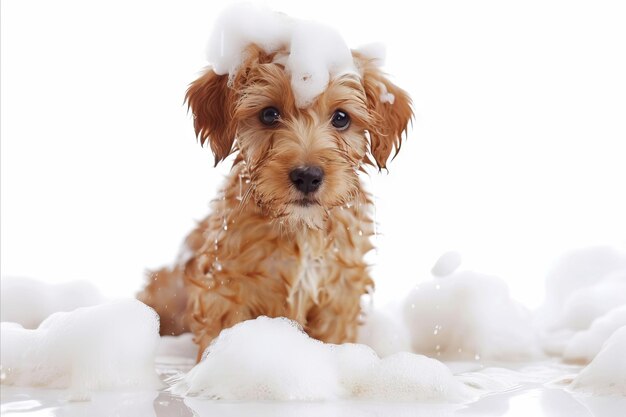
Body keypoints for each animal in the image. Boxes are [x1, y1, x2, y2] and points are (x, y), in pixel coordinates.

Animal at [137, 44, 412, 358]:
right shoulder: (227, 289)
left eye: (341, 118)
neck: (300, 229)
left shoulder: (339, 298)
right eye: (269, 114)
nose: (307, 176)